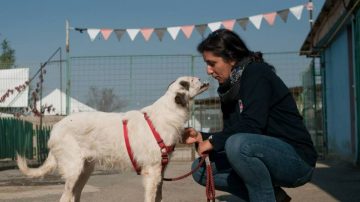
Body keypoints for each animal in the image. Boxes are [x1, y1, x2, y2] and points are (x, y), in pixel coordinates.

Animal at [16, 76, 208, 202]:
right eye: (190, 81)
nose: (202, 78)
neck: (167, 112)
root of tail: (55, 128)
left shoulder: (161, 170)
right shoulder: (152, 171)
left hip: (84, 171)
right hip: (74, 170)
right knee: (65, 198)